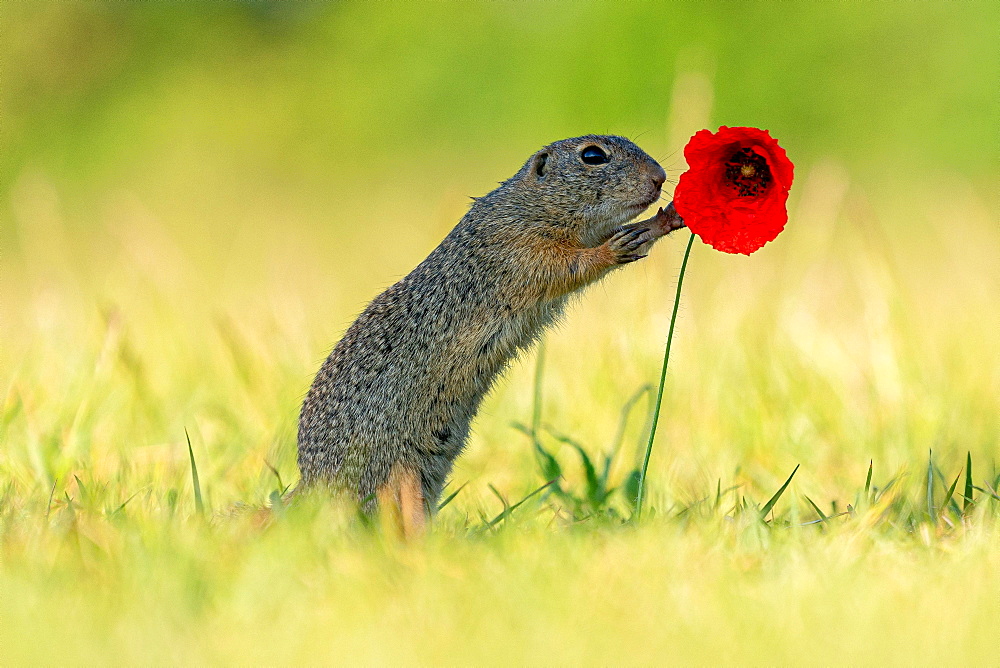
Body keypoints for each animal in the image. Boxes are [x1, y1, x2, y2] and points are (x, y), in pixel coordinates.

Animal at [296, 133, 688, 536]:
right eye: (593, 156)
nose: (659, 177)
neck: (527, 206)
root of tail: (311, 490)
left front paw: (665, 220)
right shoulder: (521, 248)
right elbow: (570, 266)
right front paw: (613, 249)